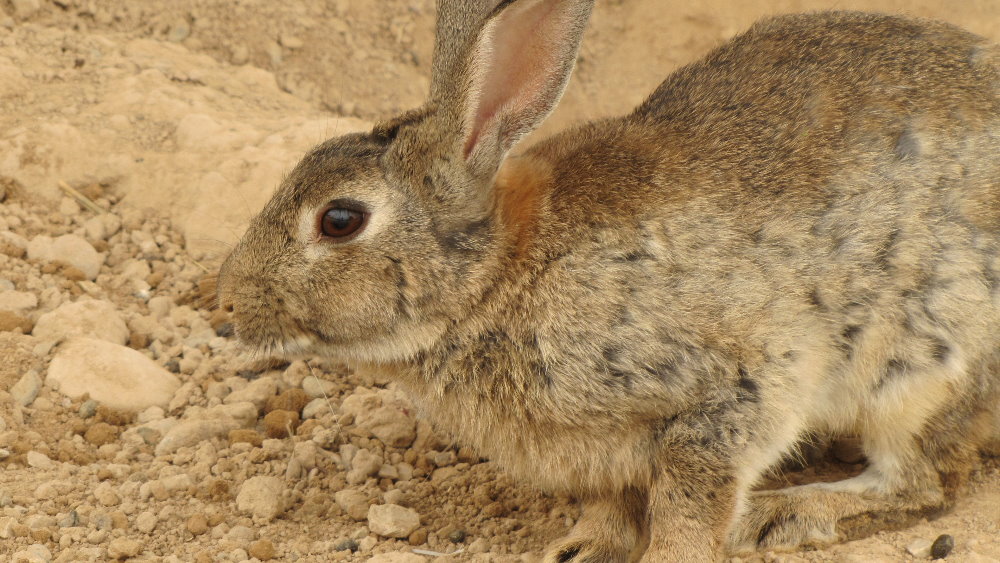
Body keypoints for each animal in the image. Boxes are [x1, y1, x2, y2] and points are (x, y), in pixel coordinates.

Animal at [217, 0, 1000, 560]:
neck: (494, 279)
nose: (229, 306)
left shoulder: (737, 382)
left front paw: (673, 555)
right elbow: (614, 503)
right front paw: (575, 548)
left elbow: (691, 495)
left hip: (923, 366)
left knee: (922, 481)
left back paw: (789, 510)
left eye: (340, 219)